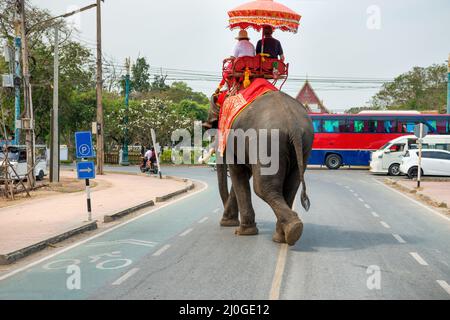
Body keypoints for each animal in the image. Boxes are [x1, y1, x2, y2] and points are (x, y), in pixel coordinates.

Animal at [209, 91, 314, 246]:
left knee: (262, 187)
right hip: (304, 145)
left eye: (215, 124)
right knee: (290, 187)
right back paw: (286, 235)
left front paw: (241, 231)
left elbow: (237, 172)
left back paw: (292, 229)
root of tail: (292, 123)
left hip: (267, 142)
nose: (228, 222)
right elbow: (243, 175)